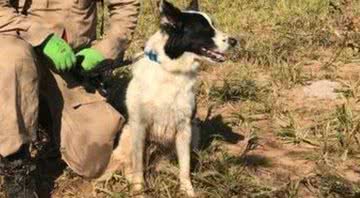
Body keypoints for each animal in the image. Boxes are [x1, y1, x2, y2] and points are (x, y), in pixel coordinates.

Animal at [111, 0, 238, 196]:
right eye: (204, 30)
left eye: (213, 25)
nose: (234, 41)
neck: (171, 71)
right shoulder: (139, 126)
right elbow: (138, 164)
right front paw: (138, 189)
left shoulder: (184, 127)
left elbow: (185, 166)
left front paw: (187, 190)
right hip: (127, 133)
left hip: (195, 129)